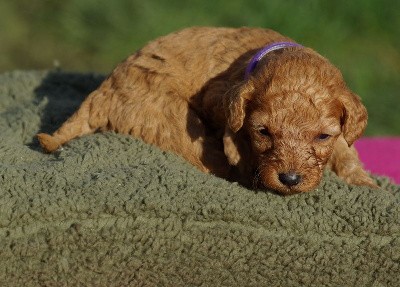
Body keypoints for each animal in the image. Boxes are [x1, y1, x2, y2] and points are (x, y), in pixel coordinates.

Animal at [36, 26, 376, 196]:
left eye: (322, 136)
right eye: (263, 132)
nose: (289, 179)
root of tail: (100, 94)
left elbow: (346, 149)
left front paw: (364, 181)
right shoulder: (219, 99)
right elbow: (233, 135)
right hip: (175, 121)